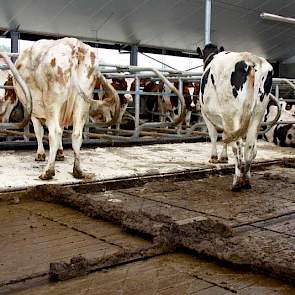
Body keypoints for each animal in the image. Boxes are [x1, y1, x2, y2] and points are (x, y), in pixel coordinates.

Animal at [12, 37, 119, 180]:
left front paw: (40, 154)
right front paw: (60, 152)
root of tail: (74, 45)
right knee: (76, 134)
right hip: (82, 102)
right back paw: (78, 171)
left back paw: (48, 172)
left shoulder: (35, 113)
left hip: (53, 102)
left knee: (54, 133)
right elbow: (61, 130)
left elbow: (39, 132)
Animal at [198, 44, 274, 192]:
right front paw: (223, 157)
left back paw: (237, 182)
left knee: (237, 145)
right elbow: (225, 137)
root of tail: (251, 60)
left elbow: (214, 136)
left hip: (232, 114)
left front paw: (214, 157)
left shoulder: (206, 114)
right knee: (250, 147)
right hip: (258, 113)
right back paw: (246, 180)